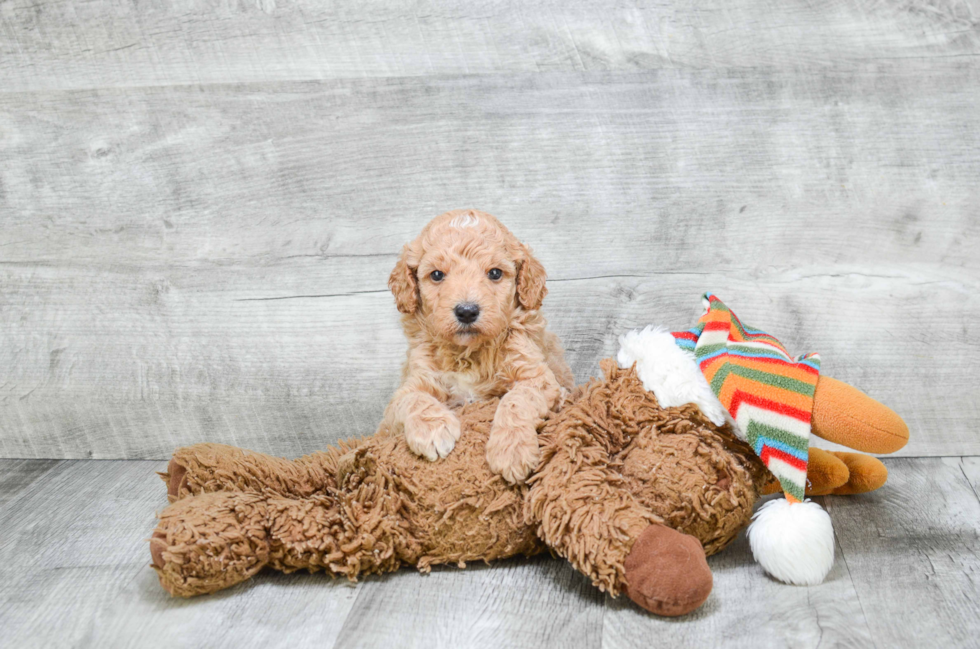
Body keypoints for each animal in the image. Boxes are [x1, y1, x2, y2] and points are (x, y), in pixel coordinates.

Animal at [386, 208, 580, 480]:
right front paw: (434, 431)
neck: (469, 352)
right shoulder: (406, 392)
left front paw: (511, 450)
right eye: (437, 275)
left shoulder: (539, 378)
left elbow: (517, 399)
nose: (467, 311)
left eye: (495, 273)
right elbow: (412, 398)